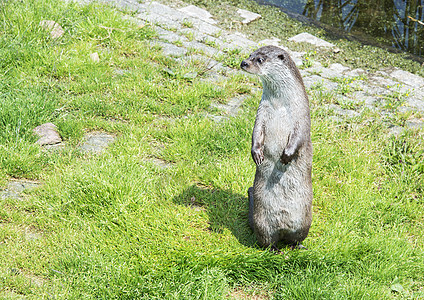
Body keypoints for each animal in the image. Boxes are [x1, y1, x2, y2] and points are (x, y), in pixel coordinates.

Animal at [240, 45, 314, 252]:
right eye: (250, 55)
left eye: (260, 59)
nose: (244, 63)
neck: (281, 105)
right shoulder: (262, 112)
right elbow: (256, 132)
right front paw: (256, 153)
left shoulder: (301, 116)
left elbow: (298, 138)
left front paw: (286, 156)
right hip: (262, 221)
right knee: (266, 240)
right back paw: (274, 249)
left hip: (304, 221)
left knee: (295, 238)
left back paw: (298, 246)